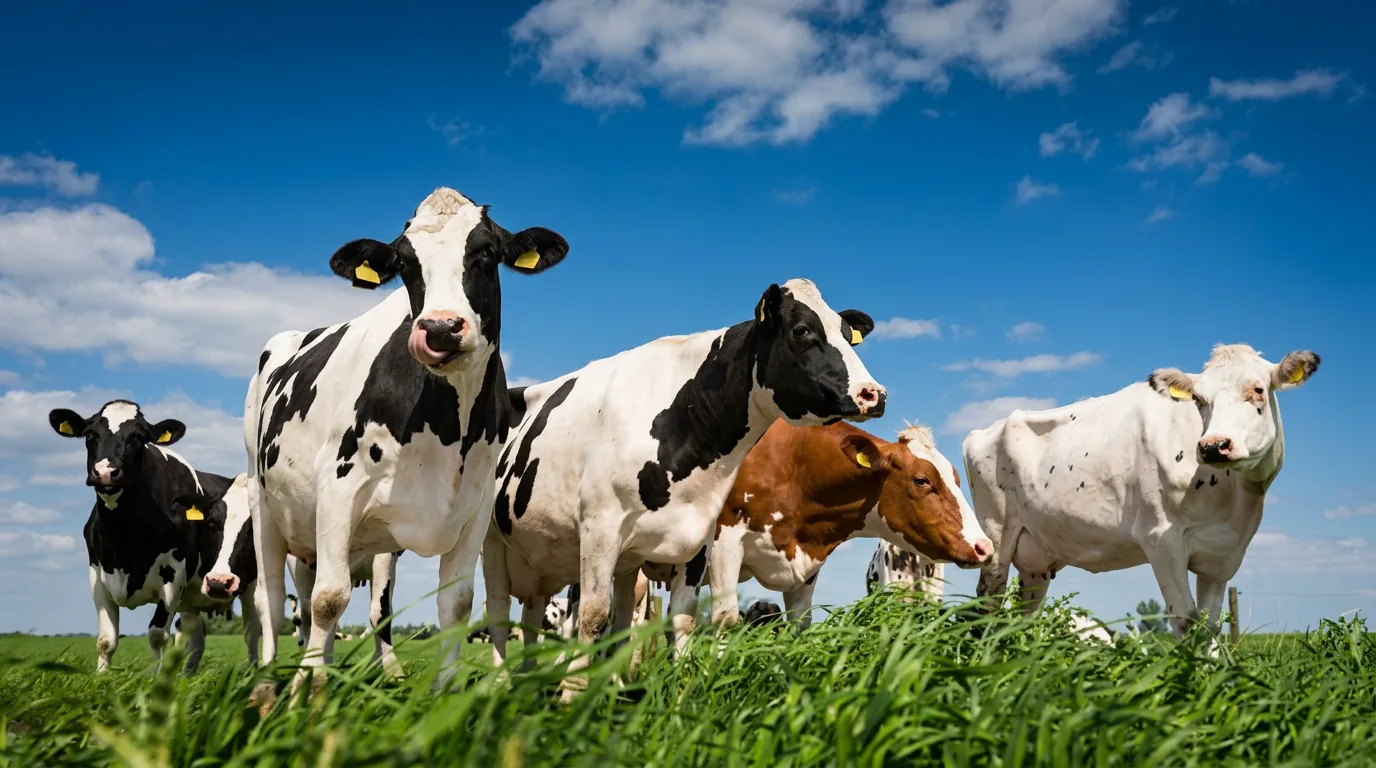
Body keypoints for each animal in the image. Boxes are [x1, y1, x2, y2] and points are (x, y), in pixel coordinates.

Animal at [47, 400, 260, 673]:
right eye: (91, 435)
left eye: (137, 437)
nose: (105, 472)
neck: (123, 540)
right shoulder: (96, 576)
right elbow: (106, 639)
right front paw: (101, 676)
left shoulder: (173, 578)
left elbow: (157, 634)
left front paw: (156, 678)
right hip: (193, 599)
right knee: (195, 633)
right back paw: (187, 673)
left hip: (251, 584)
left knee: (251, 630)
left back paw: (254, 671)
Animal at [244, 186, 570, 688]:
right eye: (404, 262)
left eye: (486, 252)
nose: (439, 328)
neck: (448, 430)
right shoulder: (338, 486)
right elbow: (328, 599)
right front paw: (308, 692)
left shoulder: (475, 507)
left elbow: (456, 603)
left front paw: (445, 690)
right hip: (263, 502)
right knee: (274, 599)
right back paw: (268, 682)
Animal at [480, 277, 887, 698]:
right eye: (803, 330)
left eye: (848, 336)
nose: (874, 394)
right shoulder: (599, 528)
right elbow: (592, 615)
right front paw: (572, 694)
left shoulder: (698, 538)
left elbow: (682, 619)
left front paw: (679, 693)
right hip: (490, 541)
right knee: (498, 613)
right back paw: (499, 685)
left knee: (556, 616)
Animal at [699, 422, 991, 635]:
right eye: (922, 480)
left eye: (957, 479)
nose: (984, 547)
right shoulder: (724, 544)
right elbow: (725, 617)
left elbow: (800, 624)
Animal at [964, 343, 1319, 637]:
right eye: (1199, 399)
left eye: (1257, 389)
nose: (1213, 446)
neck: (1234, 499)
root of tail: (987, 429)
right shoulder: (1161, 538)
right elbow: (1187, 620)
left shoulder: (1224, 554)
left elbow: (1211, 625)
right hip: (995, 536)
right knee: (988, 602)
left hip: (1036, 559)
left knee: (1024, 614)